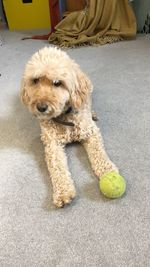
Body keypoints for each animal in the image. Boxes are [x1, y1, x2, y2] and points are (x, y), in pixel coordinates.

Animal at [20, 47, 118, 208]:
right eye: (35, 80)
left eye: (57, 83)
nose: (41, 107)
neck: (64, 116)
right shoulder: (52, 145)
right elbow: (57, 169)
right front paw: (63, 192)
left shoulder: (91, 133)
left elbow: (99, 154)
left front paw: (108, 171)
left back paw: (93, 113)